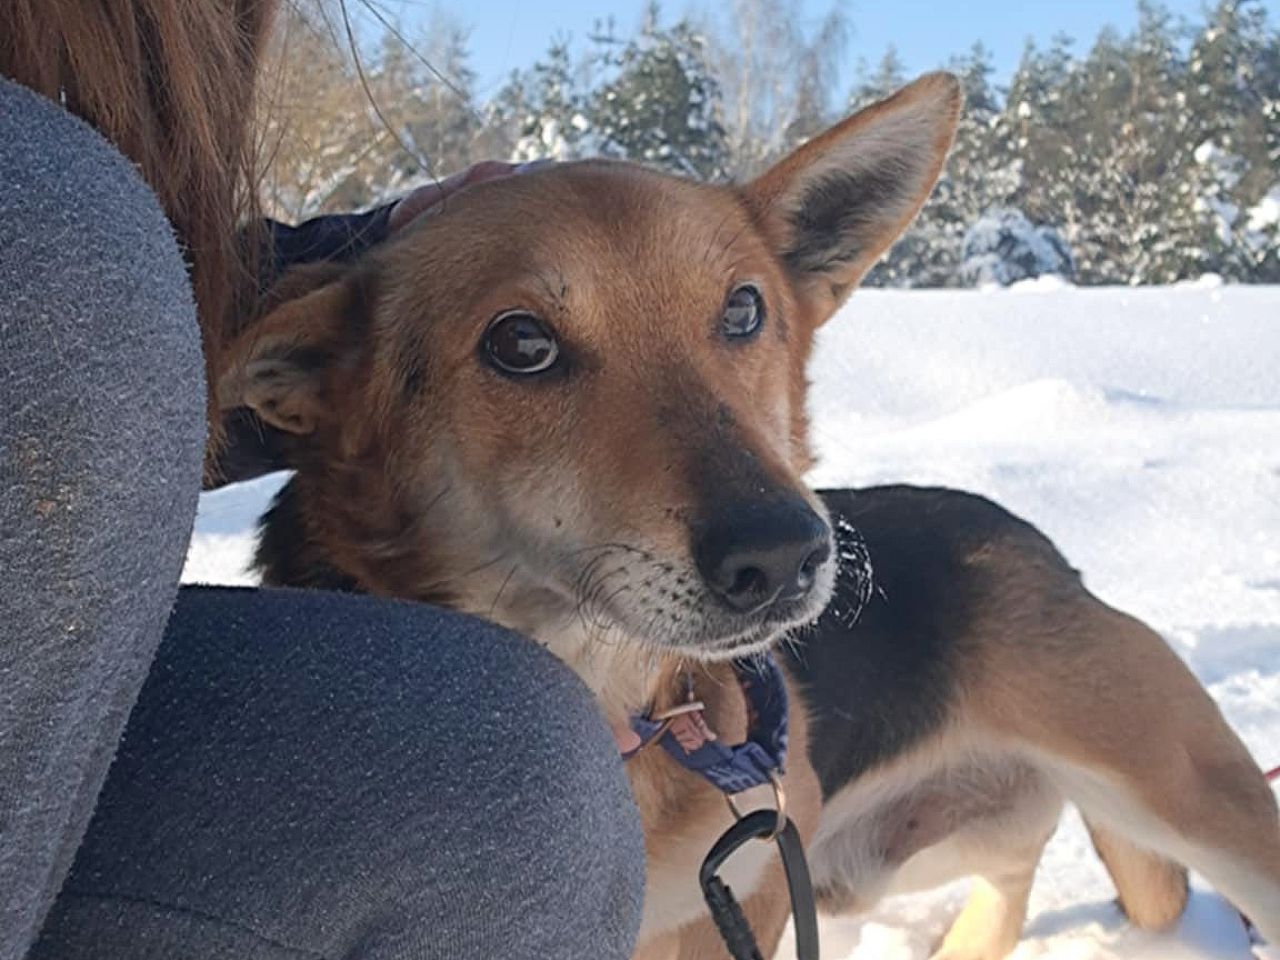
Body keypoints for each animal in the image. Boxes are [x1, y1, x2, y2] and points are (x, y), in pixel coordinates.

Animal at [218, 73, 1280, 958]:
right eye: (520, 343)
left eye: (742, 311)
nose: (782, 555)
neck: (613, 701)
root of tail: (1045, 550)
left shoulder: (761, 866)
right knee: (1009, 876)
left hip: (1183, 792)